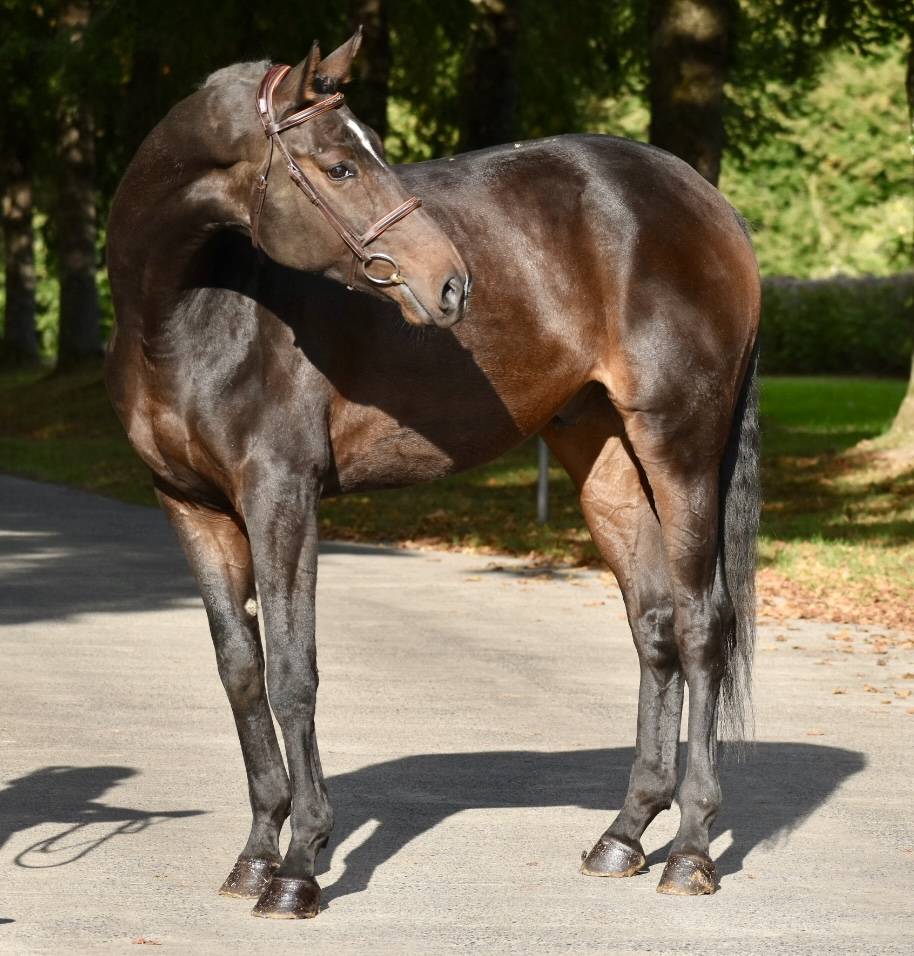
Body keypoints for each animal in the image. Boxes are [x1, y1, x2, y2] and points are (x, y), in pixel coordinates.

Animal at [105, 33, 761, 919]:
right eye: (340, 165)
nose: (450, 282)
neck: (189, 314)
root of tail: (708, 201)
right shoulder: (189, 506)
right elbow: (242, 674)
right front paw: (256, 854)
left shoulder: (283, 497)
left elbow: (293, 674)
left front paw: (300, 868)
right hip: (606, 461)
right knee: (654, 623)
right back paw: (623, 837)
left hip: (681, 447)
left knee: (701, 625)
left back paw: (689, 851)